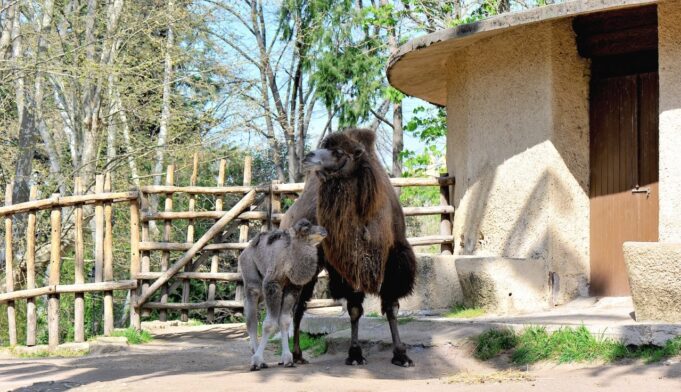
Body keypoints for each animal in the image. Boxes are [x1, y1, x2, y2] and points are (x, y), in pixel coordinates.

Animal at [236, 217, 326, 370]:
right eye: (305, 229)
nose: (323, 230)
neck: (289, 259)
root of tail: (245, 250)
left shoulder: (293, 287)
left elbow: (284, 320)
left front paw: (287, 359)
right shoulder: (272, 284)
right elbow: (269, 324)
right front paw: (257, 360)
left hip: (262, 289)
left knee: (249, 309)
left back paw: (254, 350)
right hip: (251, 274)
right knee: (252, 318)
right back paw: (257, 357)